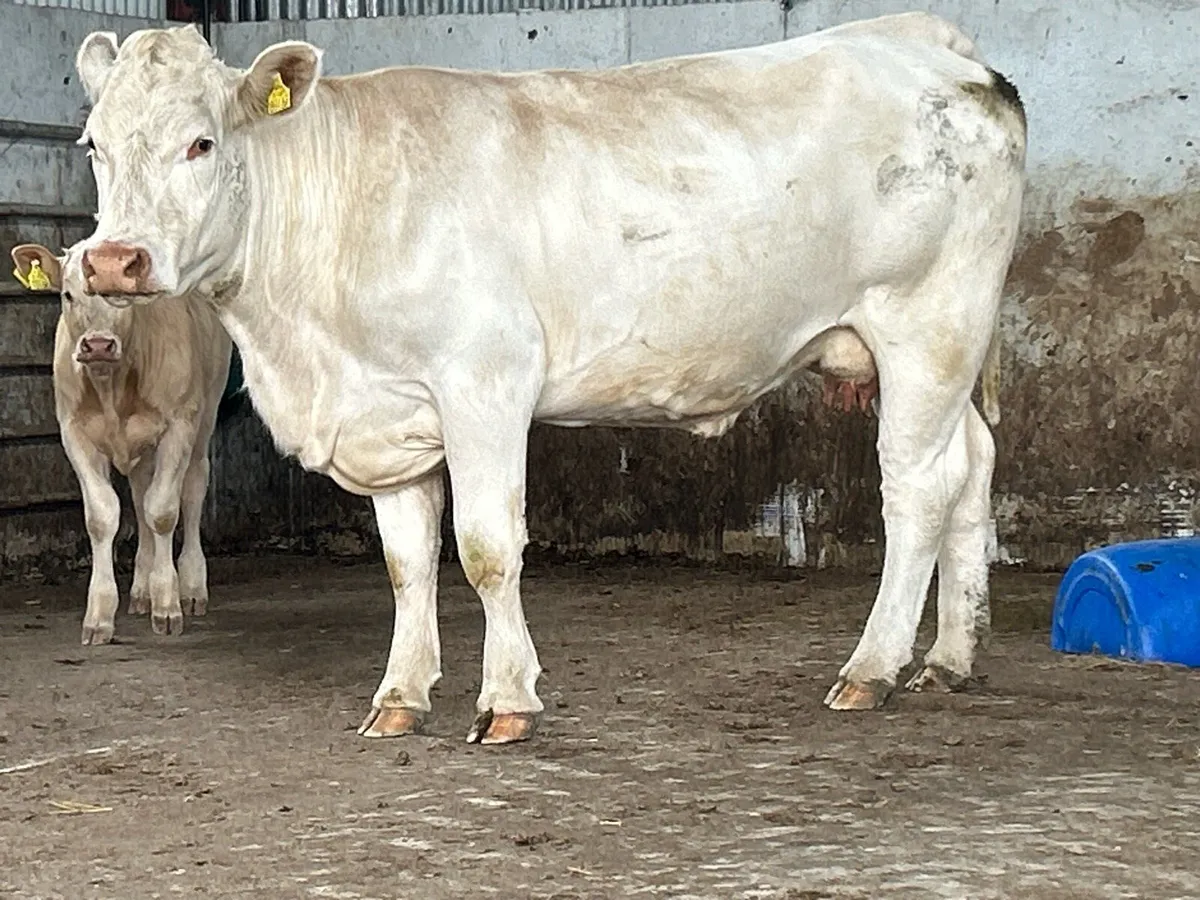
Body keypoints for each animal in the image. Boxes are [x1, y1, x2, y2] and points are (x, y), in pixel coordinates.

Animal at [11, 242, 232, 644]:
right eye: (68, 295)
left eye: (123, 297)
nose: (98, 345)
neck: (112, 385)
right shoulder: (75, 434)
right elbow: (104, 516)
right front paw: (100, 615)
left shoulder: (178, 427)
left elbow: (163, 512)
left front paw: (168, 604)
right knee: (140, 496)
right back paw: (142, 588)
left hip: (204, 415)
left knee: (192, 490)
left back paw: (191, 587)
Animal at [67, 10, 1025, 744]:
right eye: (94, 146)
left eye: (201, 142)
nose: (115, 261)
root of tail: (925, 41)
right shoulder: (388, 412)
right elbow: (407, 564)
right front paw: (399, 696)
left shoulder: (484, 381)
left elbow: (487, 550)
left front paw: (507, 700)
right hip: (935, 352)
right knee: (973, 463)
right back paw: (949, 658)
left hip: (926, 325)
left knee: (918, 488)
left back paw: (873, 667)